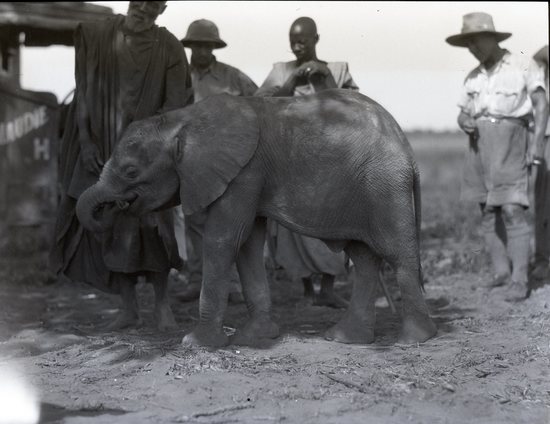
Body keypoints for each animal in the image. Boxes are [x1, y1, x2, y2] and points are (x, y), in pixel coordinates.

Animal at [76, 89, 440, 348]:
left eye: (130, 171)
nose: (112, 208)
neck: (182, 120)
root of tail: (407, 148)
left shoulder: (243, 173)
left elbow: (224, 240)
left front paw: (196, 343)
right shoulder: (247, 176)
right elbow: (248, 244)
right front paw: (256, 338)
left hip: (384, 186)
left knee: (397, 254)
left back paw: (412, 340)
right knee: (364, 259)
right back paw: (346, 338)